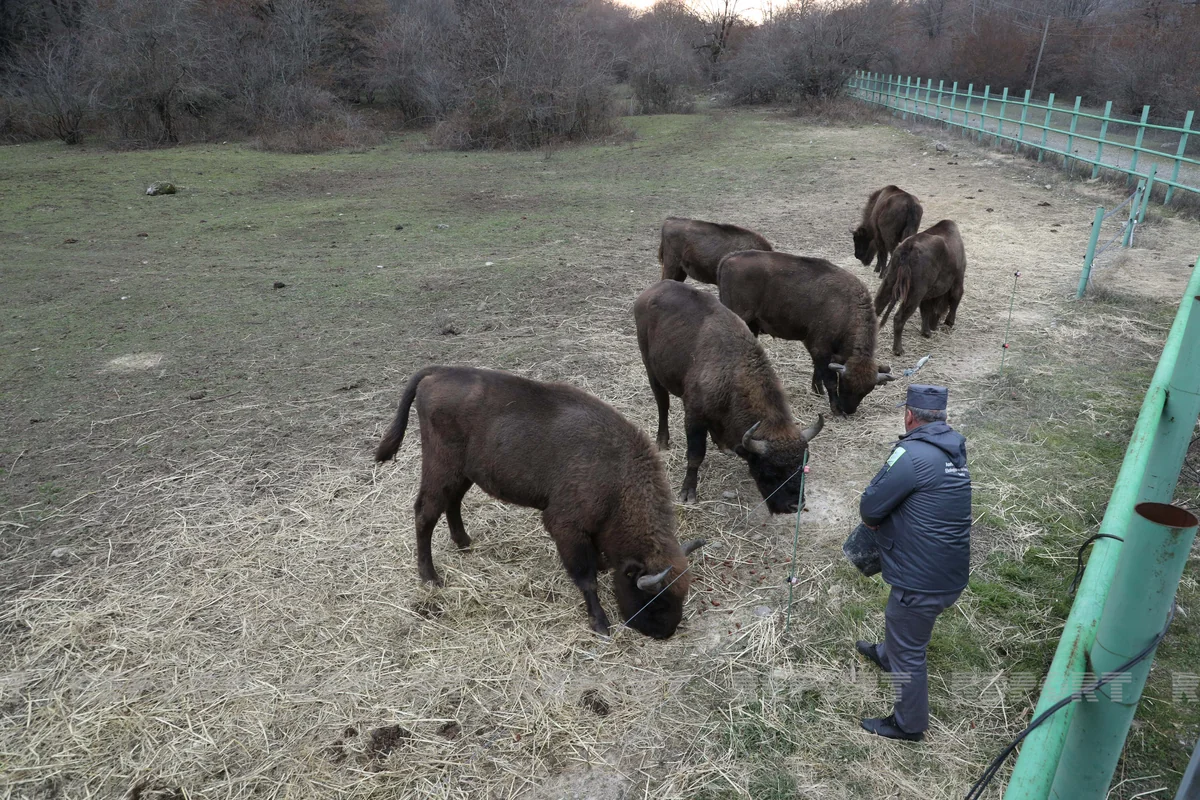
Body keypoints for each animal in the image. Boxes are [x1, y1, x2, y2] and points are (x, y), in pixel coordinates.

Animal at [374, 366, 706, 638]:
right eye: (656, 601)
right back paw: (430, 578)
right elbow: (585, 578)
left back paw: (464, 543)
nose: (666, 632)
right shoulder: (564, 527)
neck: (618, 476)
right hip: (441, 468)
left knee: (451, 503)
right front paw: (600, 624)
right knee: (425, 513)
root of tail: (436, 373)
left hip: (463, 473)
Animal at [634, 280, 824, 512]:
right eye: (772, 471)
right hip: (651, 369)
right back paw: (662, 442)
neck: (734, 372)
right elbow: (695, 455)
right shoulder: (694, 416)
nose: (795, 505)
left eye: (802, 466)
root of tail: (651, 291)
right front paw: (688, 493)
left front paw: (726, 447)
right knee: (662, 404)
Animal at [717, 250, 896, 416]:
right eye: (845, 383)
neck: (846, 308)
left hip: (752, 325)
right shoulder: (820, 348)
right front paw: (835, 409)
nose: (848, 410)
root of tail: (729, 258)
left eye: (867, 390)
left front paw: (818, 392)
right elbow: (829, 379)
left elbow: (818, 371)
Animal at [876, 220, 967, 356]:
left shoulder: (926, 295)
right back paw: (898, 350)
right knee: (899, 318)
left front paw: (926, 332)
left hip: (889, 282)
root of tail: (908, 247)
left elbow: (926, 310)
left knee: (878, 306)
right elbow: (955, 299)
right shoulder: (958, 281)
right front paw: (949, 323)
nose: (934, 326)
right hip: (914, 293)